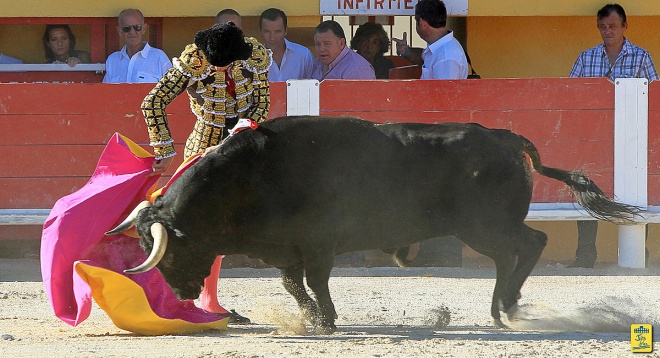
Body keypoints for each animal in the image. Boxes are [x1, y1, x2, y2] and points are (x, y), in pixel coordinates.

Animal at [105, 116, 636, 334]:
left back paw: (504, 307)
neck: (251, 174)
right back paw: (503, 307)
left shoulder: (317, 244)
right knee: (519, 251)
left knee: (529, 244)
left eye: (169, 250)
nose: (182, 294)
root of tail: (506, 138)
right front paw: (314, 319)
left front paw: (327, 319)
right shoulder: (287, 249)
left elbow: (315, 281)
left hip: (484, 225)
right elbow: (295, 285)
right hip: (484, 228)